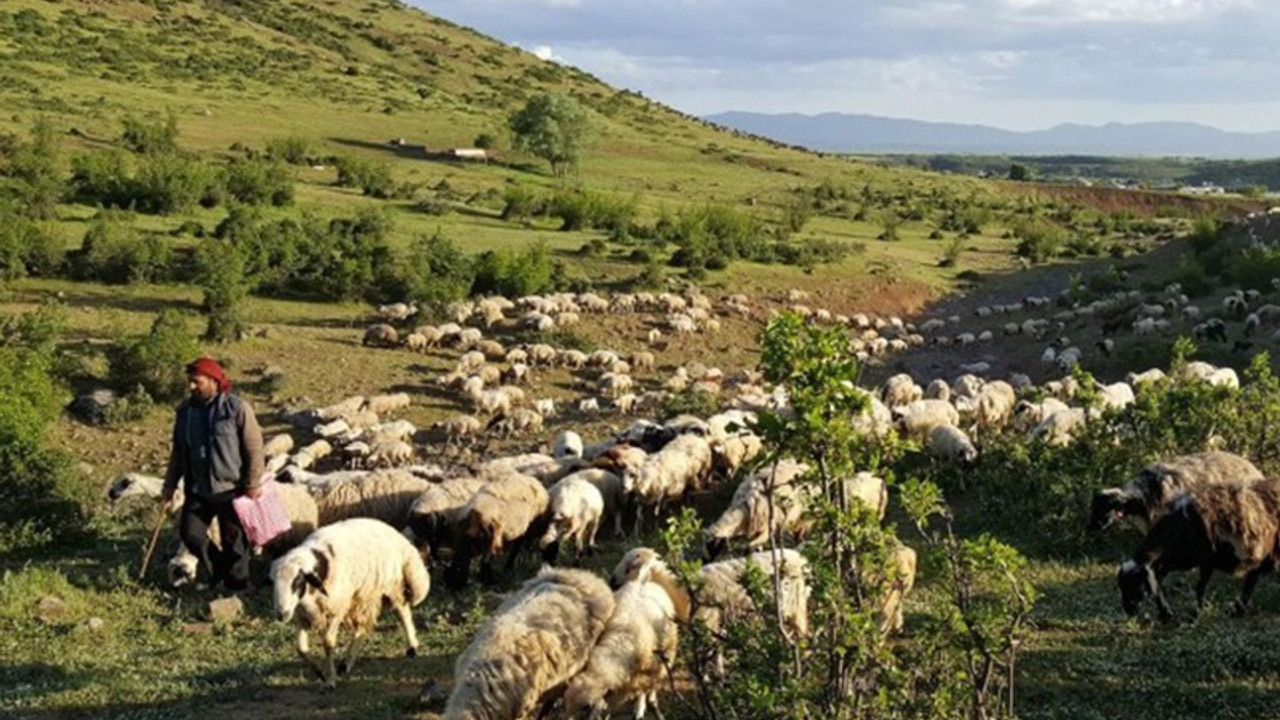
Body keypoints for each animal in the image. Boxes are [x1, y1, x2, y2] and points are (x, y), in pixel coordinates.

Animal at [270, 515, 430, 681]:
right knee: (362, 628)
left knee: (402, 611)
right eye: (272, 581)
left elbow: (328, 642)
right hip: (363, 595)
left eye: (297, 581)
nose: (281, 614)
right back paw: (346, 663)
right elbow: (300, 648)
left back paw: (412, 646)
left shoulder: (337, 609)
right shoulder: (303, 616)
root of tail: (398, 536)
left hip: (391, 585)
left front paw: (330, 678)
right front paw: (320, 672)